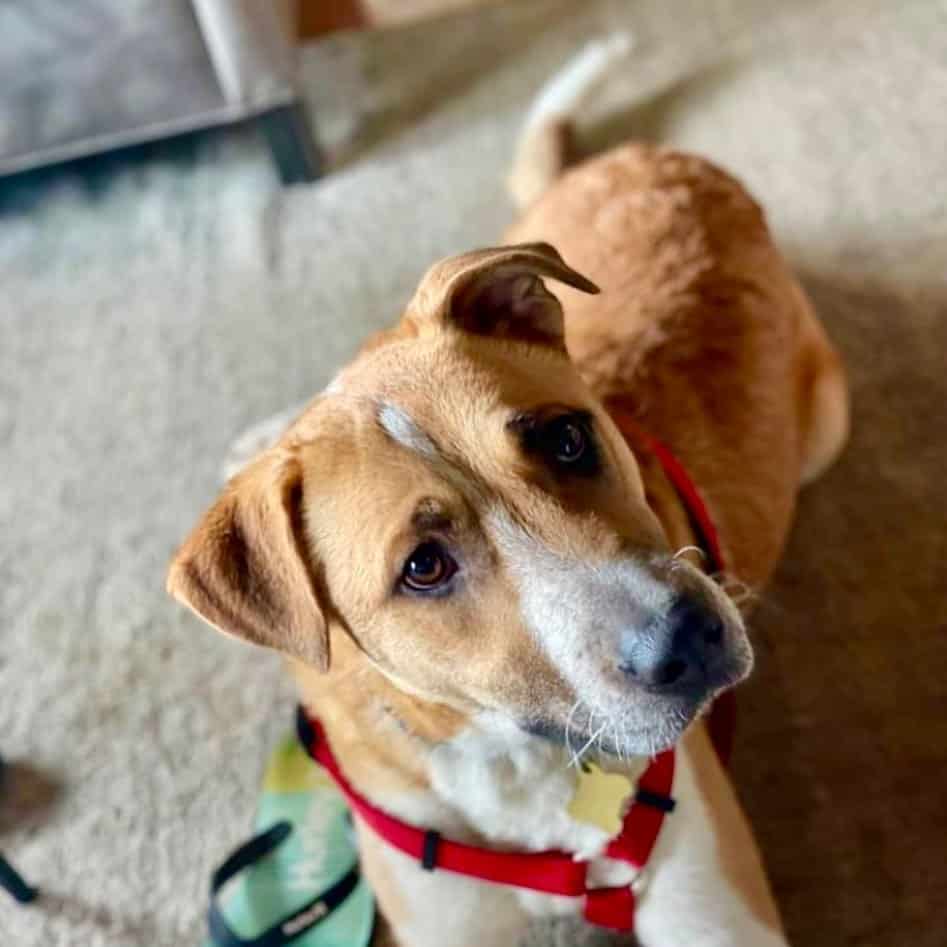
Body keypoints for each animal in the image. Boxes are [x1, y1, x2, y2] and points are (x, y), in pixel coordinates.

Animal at [168, 39, 852, 947]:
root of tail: (652, 157)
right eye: (422, 566)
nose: (688, 638)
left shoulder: (718, 918)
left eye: (566, 438)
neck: (520, 762)